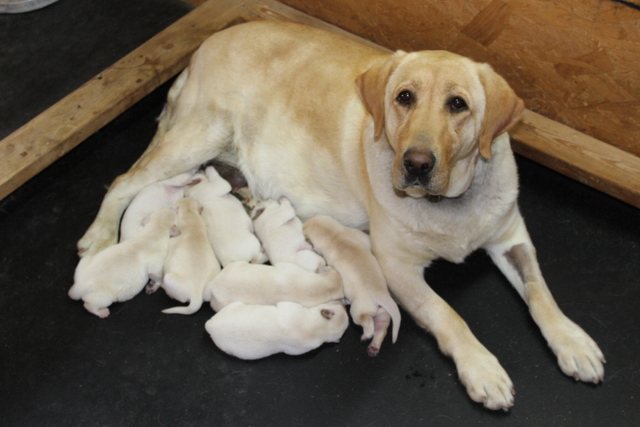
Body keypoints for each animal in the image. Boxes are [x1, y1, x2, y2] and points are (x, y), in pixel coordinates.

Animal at [304, 214, 402, 358]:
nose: (303, 223)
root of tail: (381, 294)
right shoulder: (359, 236)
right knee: (381, 330)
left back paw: (366, 336)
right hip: (383, 315)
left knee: (368, 325)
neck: (334, 234)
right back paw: (374, 347)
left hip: (357, 312)